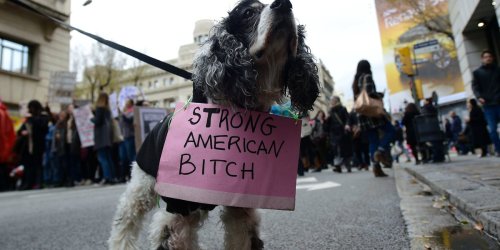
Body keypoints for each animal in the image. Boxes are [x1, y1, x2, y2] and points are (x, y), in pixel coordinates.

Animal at [109, 0, 320, 249]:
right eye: (248, 12)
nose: (284, 4)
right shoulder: (179, 210)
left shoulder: (241, 208)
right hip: (142, 185)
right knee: (126, 219)